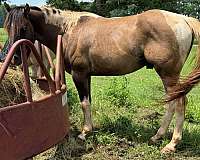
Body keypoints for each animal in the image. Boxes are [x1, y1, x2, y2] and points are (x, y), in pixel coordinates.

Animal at [3, 3, 200, 153]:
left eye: (23, 28)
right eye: (7, 27)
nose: (14, 58)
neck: (69, 29)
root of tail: (184, 20)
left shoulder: (80, 74)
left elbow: (84, 103)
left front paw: (85, 133)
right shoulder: (87, 76)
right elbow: (88, 101)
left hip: (168, 74)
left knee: (180, 103)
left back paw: (172, 144)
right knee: (172, 103)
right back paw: (157, 136)